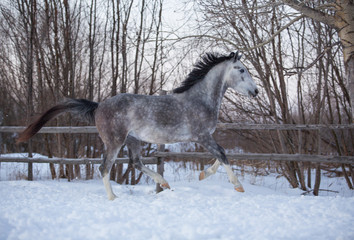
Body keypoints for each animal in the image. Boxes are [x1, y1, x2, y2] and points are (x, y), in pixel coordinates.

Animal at [18, 51, 258, 200]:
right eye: (241, 69)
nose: (256, 91)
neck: (200, 100)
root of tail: (98, 105)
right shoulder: (201, 136)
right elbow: (223, 153)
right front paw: (237, 185)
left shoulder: (204, 138)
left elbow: (220, 156)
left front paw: (203, 174)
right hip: (114, 141)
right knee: (105, 168)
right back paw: (113, 198)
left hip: (132, 140)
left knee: (135, 162)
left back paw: (164, 183)